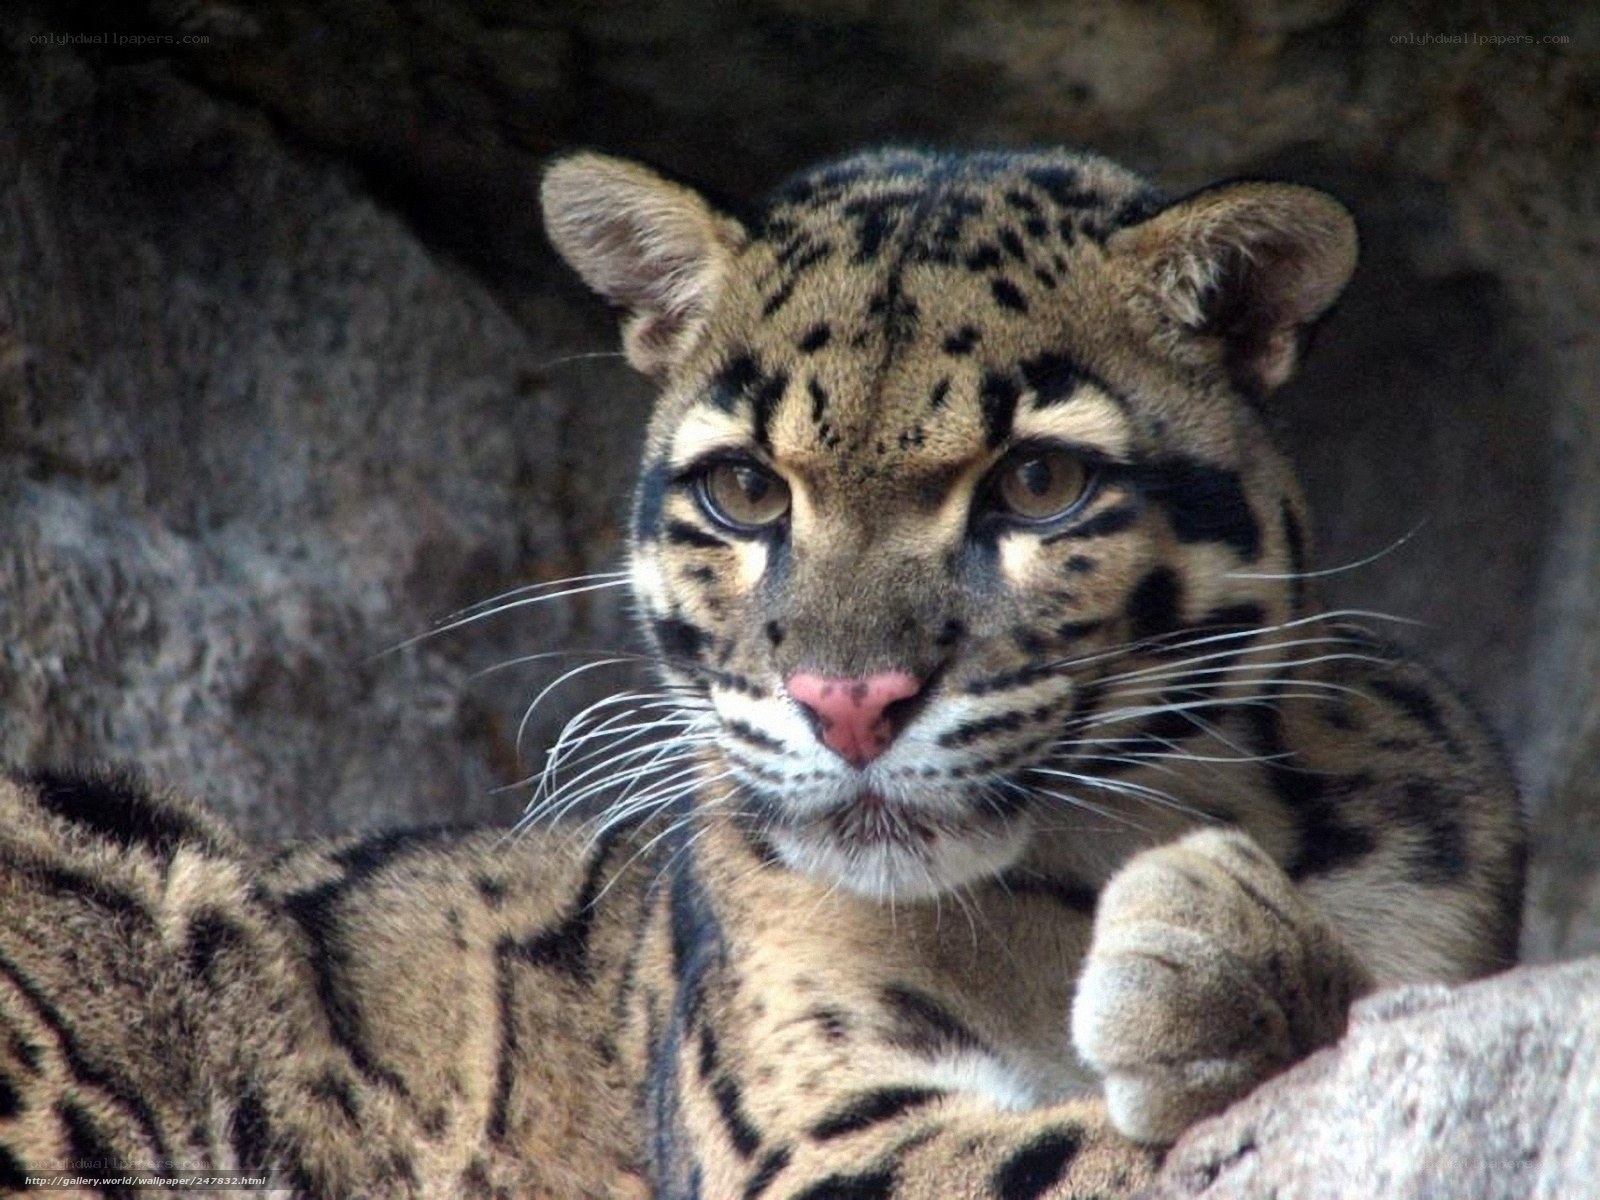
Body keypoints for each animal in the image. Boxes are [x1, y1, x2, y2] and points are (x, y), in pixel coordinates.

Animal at [0, 145, 1524, 1199]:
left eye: (1038, 483)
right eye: (743, 492)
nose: (849, 706)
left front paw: (1227, 957)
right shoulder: (805, 1130)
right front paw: (1214, 959)